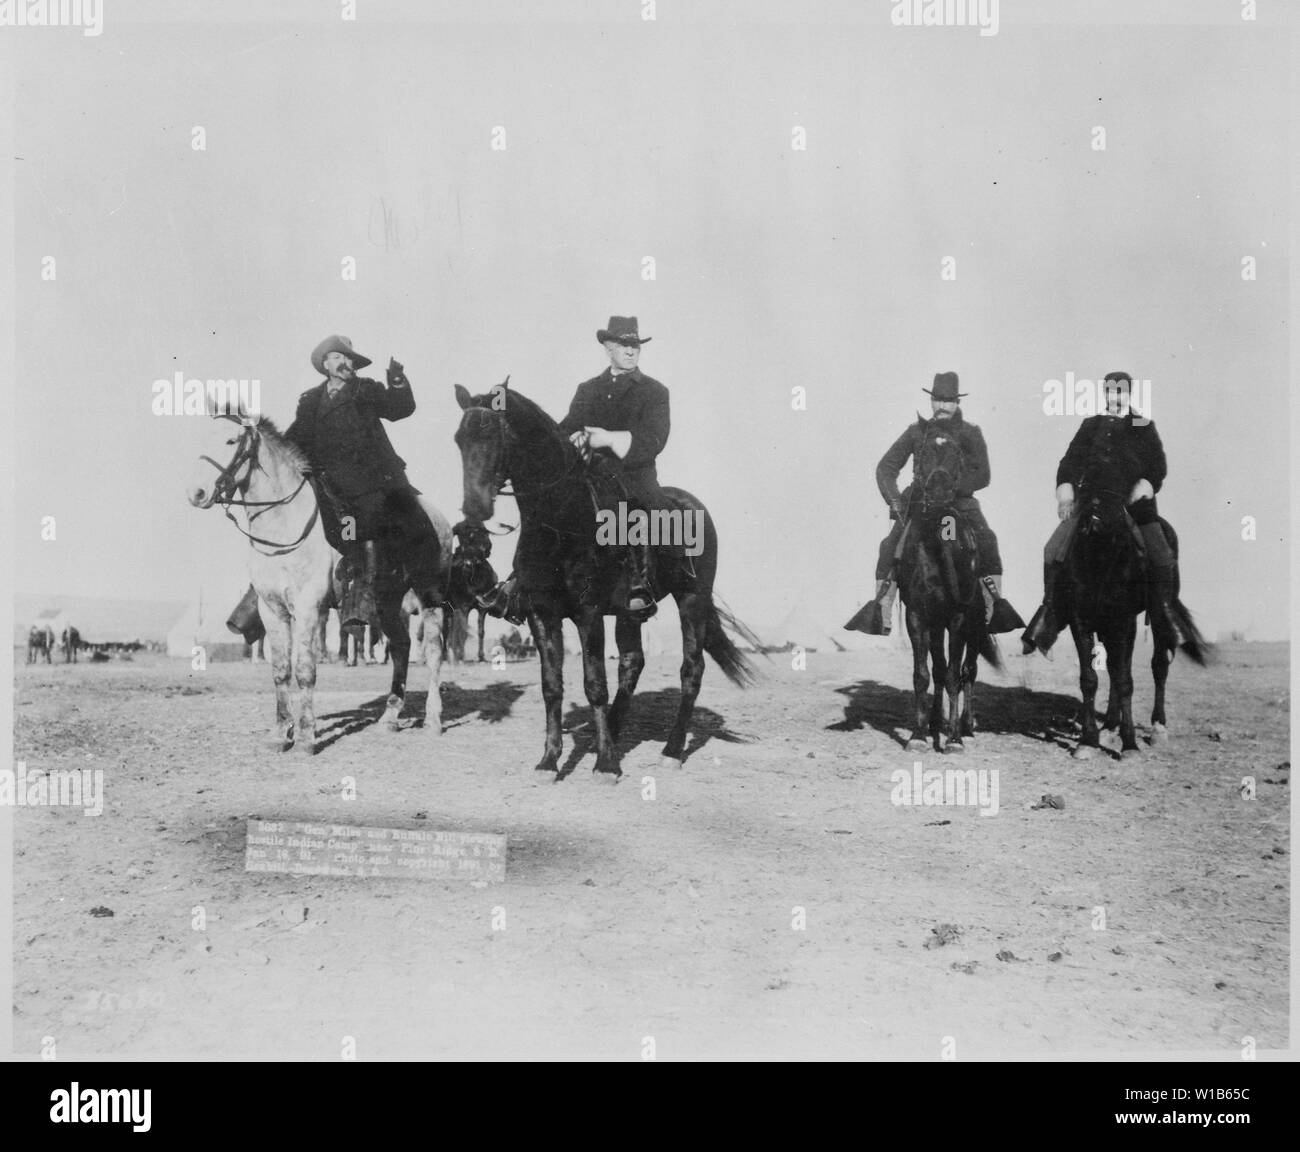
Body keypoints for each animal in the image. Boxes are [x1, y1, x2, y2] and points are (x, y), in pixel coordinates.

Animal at [185, 408, 452, 759]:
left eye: (230, 440)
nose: (196, 493)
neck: (285, 522)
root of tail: (438, 518)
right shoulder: (273, 610)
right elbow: (281, 670)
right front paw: (279, 733)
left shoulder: (308, 607)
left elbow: (305, 670)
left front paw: (307, 737)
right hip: (387, 603)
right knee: (401, 647)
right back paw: (391, 716)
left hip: (428, 598)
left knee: (433, 651)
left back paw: (433, 720)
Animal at [452, 382, 759, 780]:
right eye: (459, 438)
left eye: (495, 435)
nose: (474, 513)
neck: (560, 522)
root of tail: (692, 504)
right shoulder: (541, 614)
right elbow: (552, 686)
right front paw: (550, 760)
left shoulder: (588, 613)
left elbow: (594, 684)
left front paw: (607, 764)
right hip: (632, 611)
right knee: (632, 663)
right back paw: (611, 731)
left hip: (692, 598)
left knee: (691, 670)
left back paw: (671, 750)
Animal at [1060, 478, 1201, 759]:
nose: (1097, 514)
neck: (1101, 560)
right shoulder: (1080, 620)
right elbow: (1090, 679)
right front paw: (1088, 740)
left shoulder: (1123, 620)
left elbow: (1125, 680)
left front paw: (1130, 744)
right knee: (1115, 669)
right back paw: (1109, 726)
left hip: (1155, 618)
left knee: (1158, 665)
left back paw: (1157, 728)